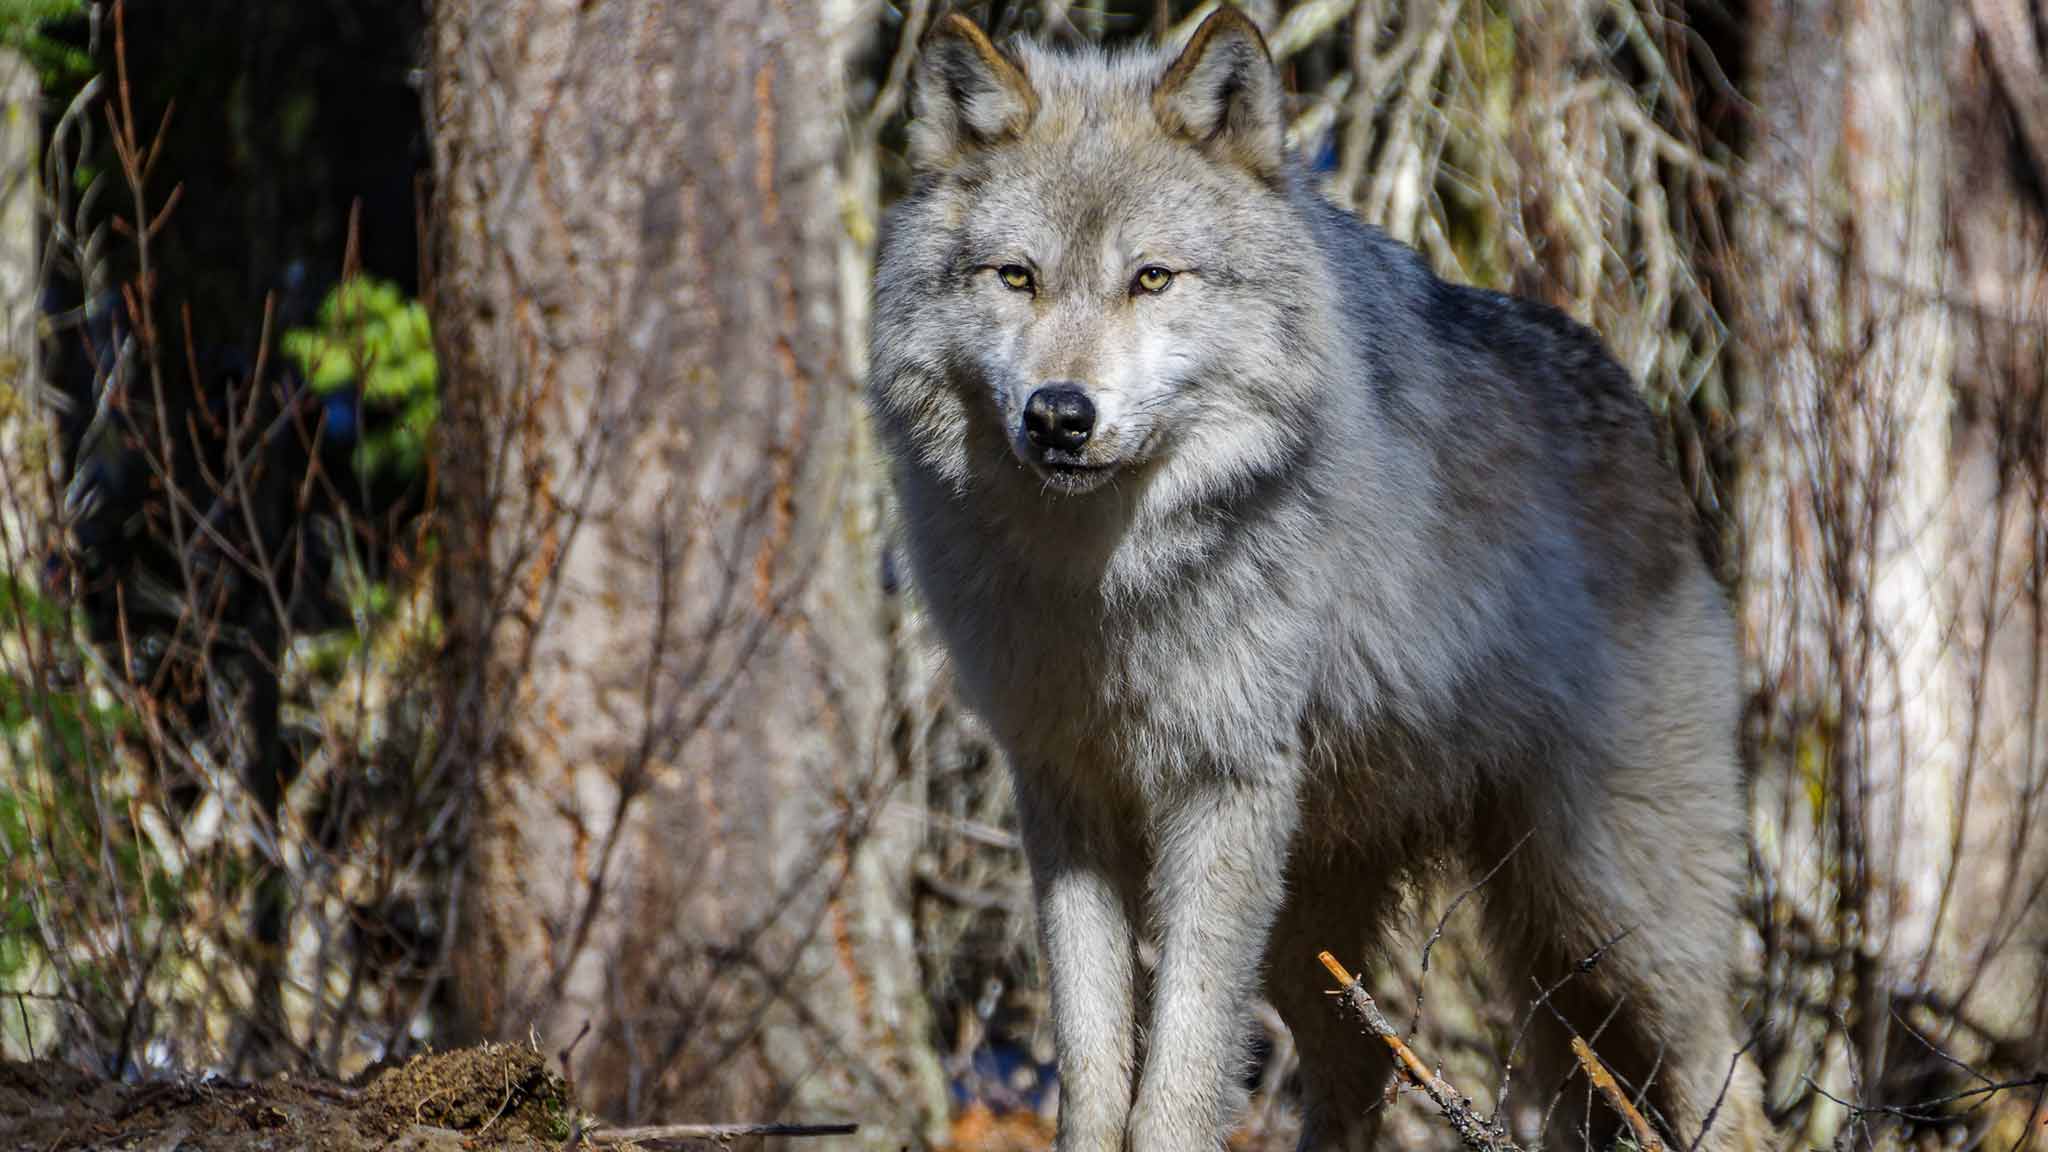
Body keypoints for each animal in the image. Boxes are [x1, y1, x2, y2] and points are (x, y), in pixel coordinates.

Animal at [868, 8, 1765, 1151]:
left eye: (1150, 278)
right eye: (1015, 277)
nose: (1059, 415)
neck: (1103, 585)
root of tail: (1648, 423)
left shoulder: (1221, 791)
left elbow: (1180, 1074)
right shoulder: (1061, 794)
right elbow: (1091, 1061)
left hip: (1608, 910)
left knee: (1725, 1075)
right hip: (1330, 934)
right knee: (1363, 1074)